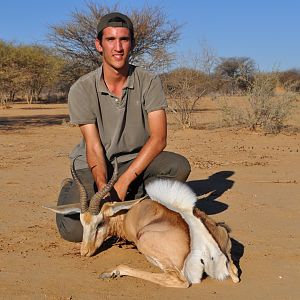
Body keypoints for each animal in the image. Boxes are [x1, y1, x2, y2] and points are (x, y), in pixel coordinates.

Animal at [45, 158, 239, 288]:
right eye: (82, 222)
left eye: (99, 223)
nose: (84, 252)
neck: (127, 214)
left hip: (146, 242)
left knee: (180, 281)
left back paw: (111, 272)